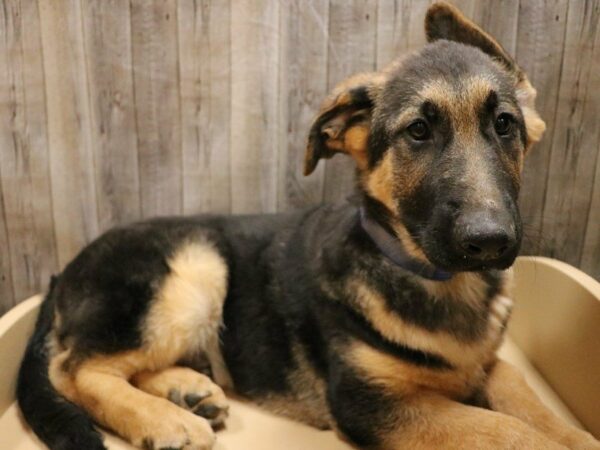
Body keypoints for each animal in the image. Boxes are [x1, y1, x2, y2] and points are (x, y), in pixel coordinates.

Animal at [16, 3, 600, 450]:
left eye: (505, 125)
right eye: (417, 132)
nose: (489, 242)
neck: (433, 279)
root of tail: (61, 275)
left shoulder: (489, 368)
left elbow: (536, 408)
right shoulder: (373, 404)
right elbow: (508, 432)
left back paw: (188, 392)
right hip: (192, 269)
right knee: (74, 369)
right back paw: (164, 419)